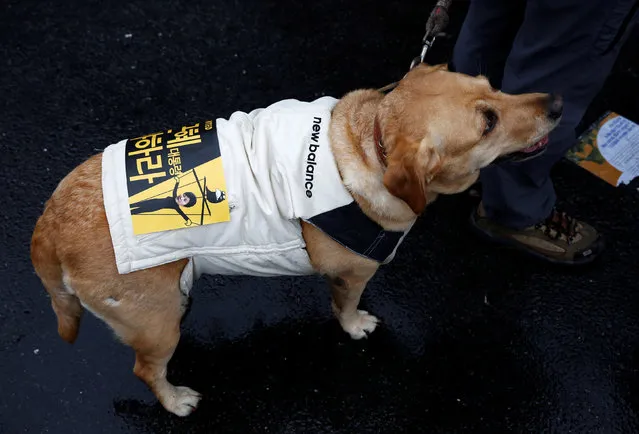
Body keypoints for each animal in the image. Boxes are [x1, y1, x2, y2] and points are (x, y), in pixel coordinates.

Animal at [30, 63, 560, 414]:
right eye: (487, 122)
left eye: (493, 85)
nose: (556, 103)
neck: (370, 142)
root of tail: (49, 225)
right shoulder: (351, 274)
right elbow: (346, 308)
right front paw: (355, 326)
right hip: (157, 326)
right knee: (146, 369)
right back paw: (175, 400)